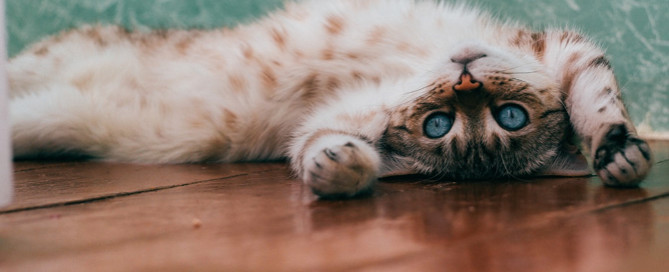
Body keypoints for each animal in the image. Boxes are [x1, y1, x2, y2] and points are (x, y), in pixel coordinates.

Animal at [7, 0, 648, 198]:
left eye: (508, 117)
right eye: (440, 123)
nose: (465, 80)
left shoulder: (324, 123)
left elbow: (319, 146)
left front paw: (340, 169)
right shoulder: (561, 48)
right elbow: (597, 96)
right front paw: (619, 149)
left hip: (44, 119)